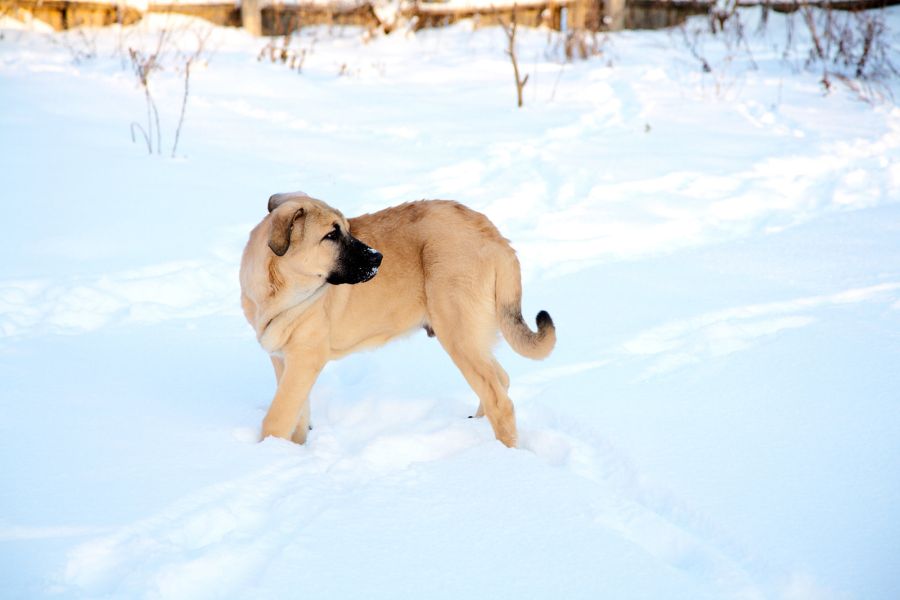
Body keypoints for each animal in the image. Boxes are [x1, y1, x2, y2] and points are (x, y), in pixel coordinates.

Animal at [243, 190, 560, 448]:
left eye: (345, 230)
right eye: (331, 236)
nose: (378, 257)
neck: (276, 291)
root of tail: (495, 236)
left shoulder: (305, 358)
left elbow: (277, 417)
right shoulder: (284, 359)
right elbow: (296, 414)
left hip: (458, 333)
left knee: (499, 399)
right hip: (472, 335)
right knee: (501, 379)